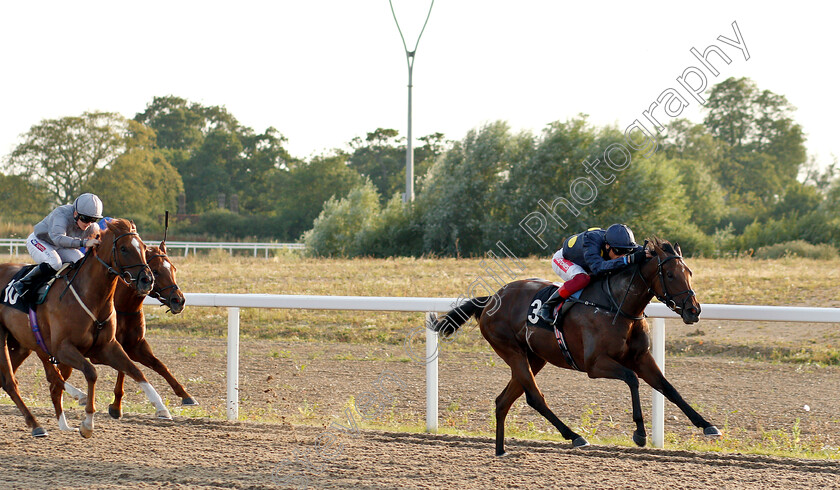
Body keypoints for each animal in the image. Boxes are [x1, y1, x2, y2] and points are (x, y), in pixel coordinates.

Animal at [0, 218, 171, 436]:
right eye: (123, 248)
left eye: (142, 247)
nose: (147, 280)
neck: (90, 296)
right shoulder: (63, 348)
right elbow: (91, 372)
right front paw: (88, 423)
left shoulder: (108, 347)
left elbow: (136, 370)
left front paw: (161, 407)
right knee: (13, 381)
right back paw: (39, 424)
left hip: (21, 344)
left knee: (18, 380)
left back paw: (58, 423)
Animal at [434, 237, 720, 456]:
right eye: (670, 274)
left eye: (689, 273)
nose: (694, 311)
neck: (616, 305)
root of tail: (492, 298)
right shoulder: (595, 364)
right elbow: (632, 379)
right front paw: (639, 433)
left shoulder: (641, 357)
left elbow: (668, 388)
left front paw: (707, 425)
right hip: (511, 351)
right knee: (535, 397)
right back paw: (574, 436)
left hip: (535, 357)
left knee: (503, 400)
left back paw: (501, 450)